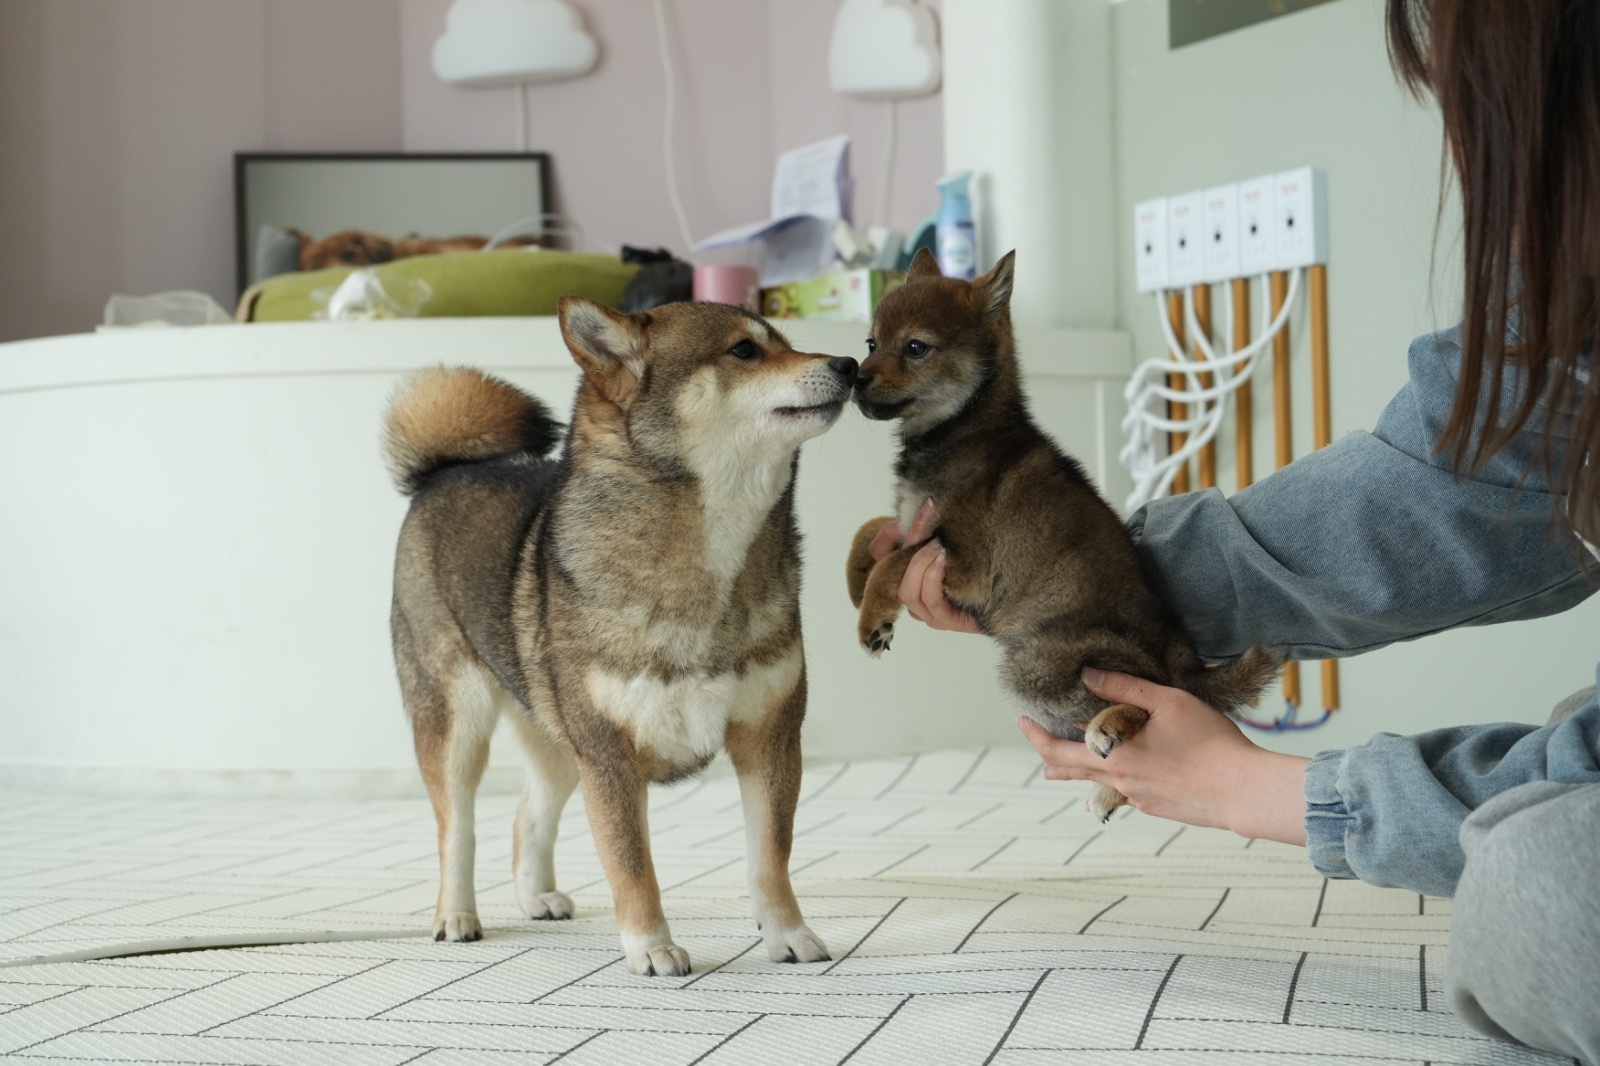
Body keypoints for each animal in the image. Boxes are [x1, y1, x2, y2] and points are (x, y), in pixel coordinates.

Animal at [382, 296, 857, 973]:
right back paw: (455, 916)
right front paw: (652, 948)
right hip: (460, 723)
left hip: (557, 741)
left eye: (787, 343)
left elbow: (770, 858)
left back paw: (538, 897)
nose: (851, 363)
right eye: (744, 350)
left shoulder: (768, 737)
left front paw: (787, 935)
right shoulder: (610, 755)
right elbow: (632, 866)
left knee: (527, 815)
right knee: (458, 831)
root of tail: (442, 474)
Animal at [844, 251, 1280, 819]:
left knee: (1154, 699)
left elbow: (896, 559)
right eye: (871, 342)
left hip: (1037, 663)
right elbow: (872, 532)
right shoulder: (914, 520)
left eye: (915, 347)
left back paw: (1112, 727)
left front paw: (872, 617)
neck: (957, 431)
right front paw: (856, 581)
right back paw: (1109, 787)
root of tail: (1183, 663)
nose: (854, 379)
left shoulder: (969, 566)